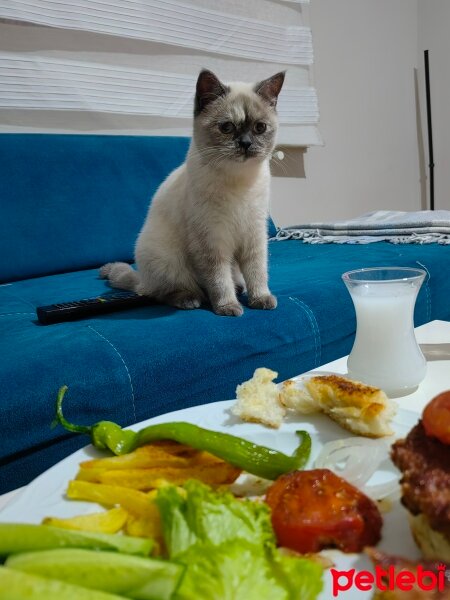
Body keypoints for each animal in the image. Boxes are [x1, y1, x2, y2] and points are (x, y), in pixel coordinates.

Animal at [101, 68, 284, 316]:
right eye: (227, 127)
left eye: (260, 128)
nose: (245, 143)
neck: (239, 181)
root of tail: (142, 279)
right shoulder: (211, 240)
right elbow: (218, 279)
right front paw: (228, 307)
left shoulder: (254, 234)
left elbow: (257, 272)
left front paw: (260, 299)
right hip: (168, 259)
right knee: (163, 292)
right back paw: (190, 299)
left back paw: (238, 288)